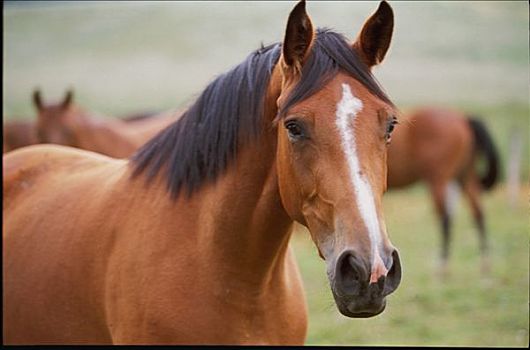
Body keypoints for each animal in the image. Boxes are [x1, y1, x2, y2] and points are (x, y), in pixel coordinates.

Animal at [386, 106, 498, 276]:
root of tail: (463, 118)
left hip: (438, 181)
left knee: (446, 219)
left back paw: (443, 266)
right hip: (464, 176)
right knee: (478, 213)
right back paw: (484, 264)